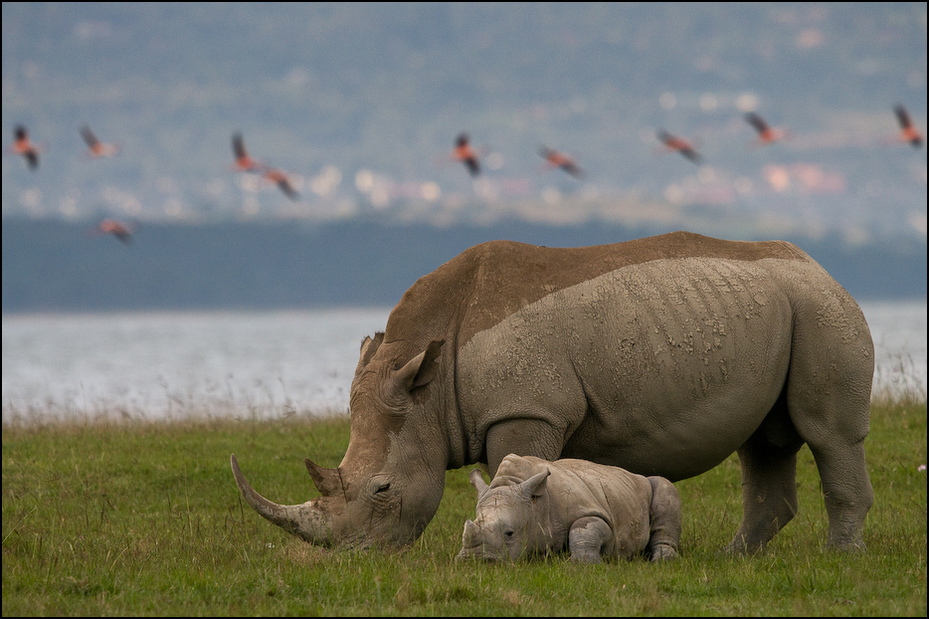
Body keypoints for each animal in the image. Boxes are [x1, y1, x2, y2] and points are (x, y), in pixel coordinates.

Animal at [458, 452, 680, 564]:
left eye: (510, 534)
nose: (473, 560)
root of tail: (633, 474)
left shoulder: (594, 512)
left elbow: (584, 528)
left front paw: (582, 564)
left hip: (644, 486)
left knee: (664, 488)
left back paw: (663, 561)